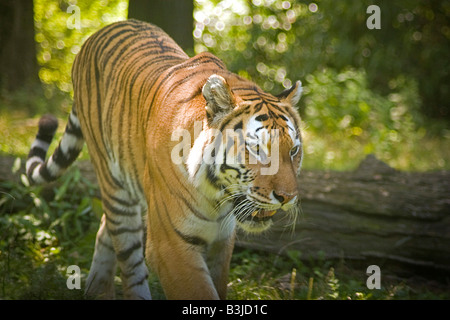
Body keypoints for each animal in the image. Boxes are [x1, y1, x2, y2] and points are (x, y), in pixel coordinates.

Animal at [26, 19, 304, 300]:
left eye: (293, 151)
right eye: (257, 148)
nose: (287, 198)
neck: (217, 197)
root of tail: (101, 31)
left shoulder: (222, 241)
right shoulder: (170, 244)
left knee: (105, 230)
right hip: (115, 187)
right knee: (127, 257)